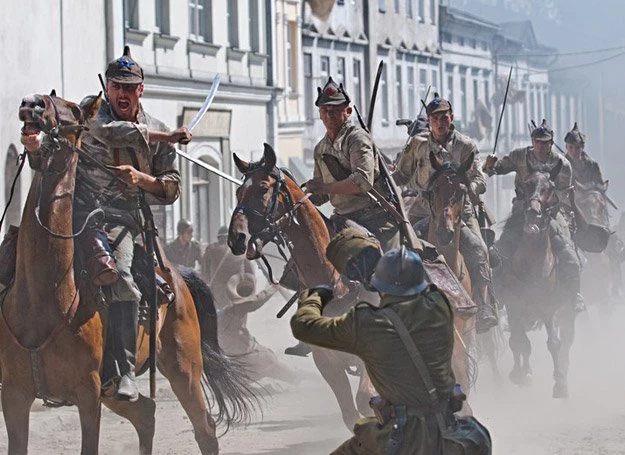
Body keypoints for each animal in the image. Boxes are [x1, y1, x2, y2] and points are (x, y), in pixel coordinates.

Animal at [0, 91, 256, 454]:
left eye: (74, 109)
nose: (31, 104)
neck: (45, 296)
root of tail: (177, 277)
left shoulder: (88, 395)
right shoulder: (14, 396)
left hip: (184, 368)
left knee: (204, 428)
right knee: (146, 414)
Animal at [229, 143, 376, 432]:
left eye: (263, 189)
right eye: (239, 192)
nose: (236, 238)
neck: (337, 280)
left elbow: (367, 399)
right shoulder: (326, 361)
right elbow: (350, 413)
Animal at [492, 164, 576, 400]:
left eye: (550, 187)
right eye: (527, 184)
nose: (533, 211)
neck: (532, 269)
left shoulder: (548, 309)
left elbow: (554, 344)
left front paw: (560, 383)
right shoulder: (514, 306)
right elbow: (519, 342)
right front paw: (520, 374)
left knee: (566, 340)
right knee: (520, 341)